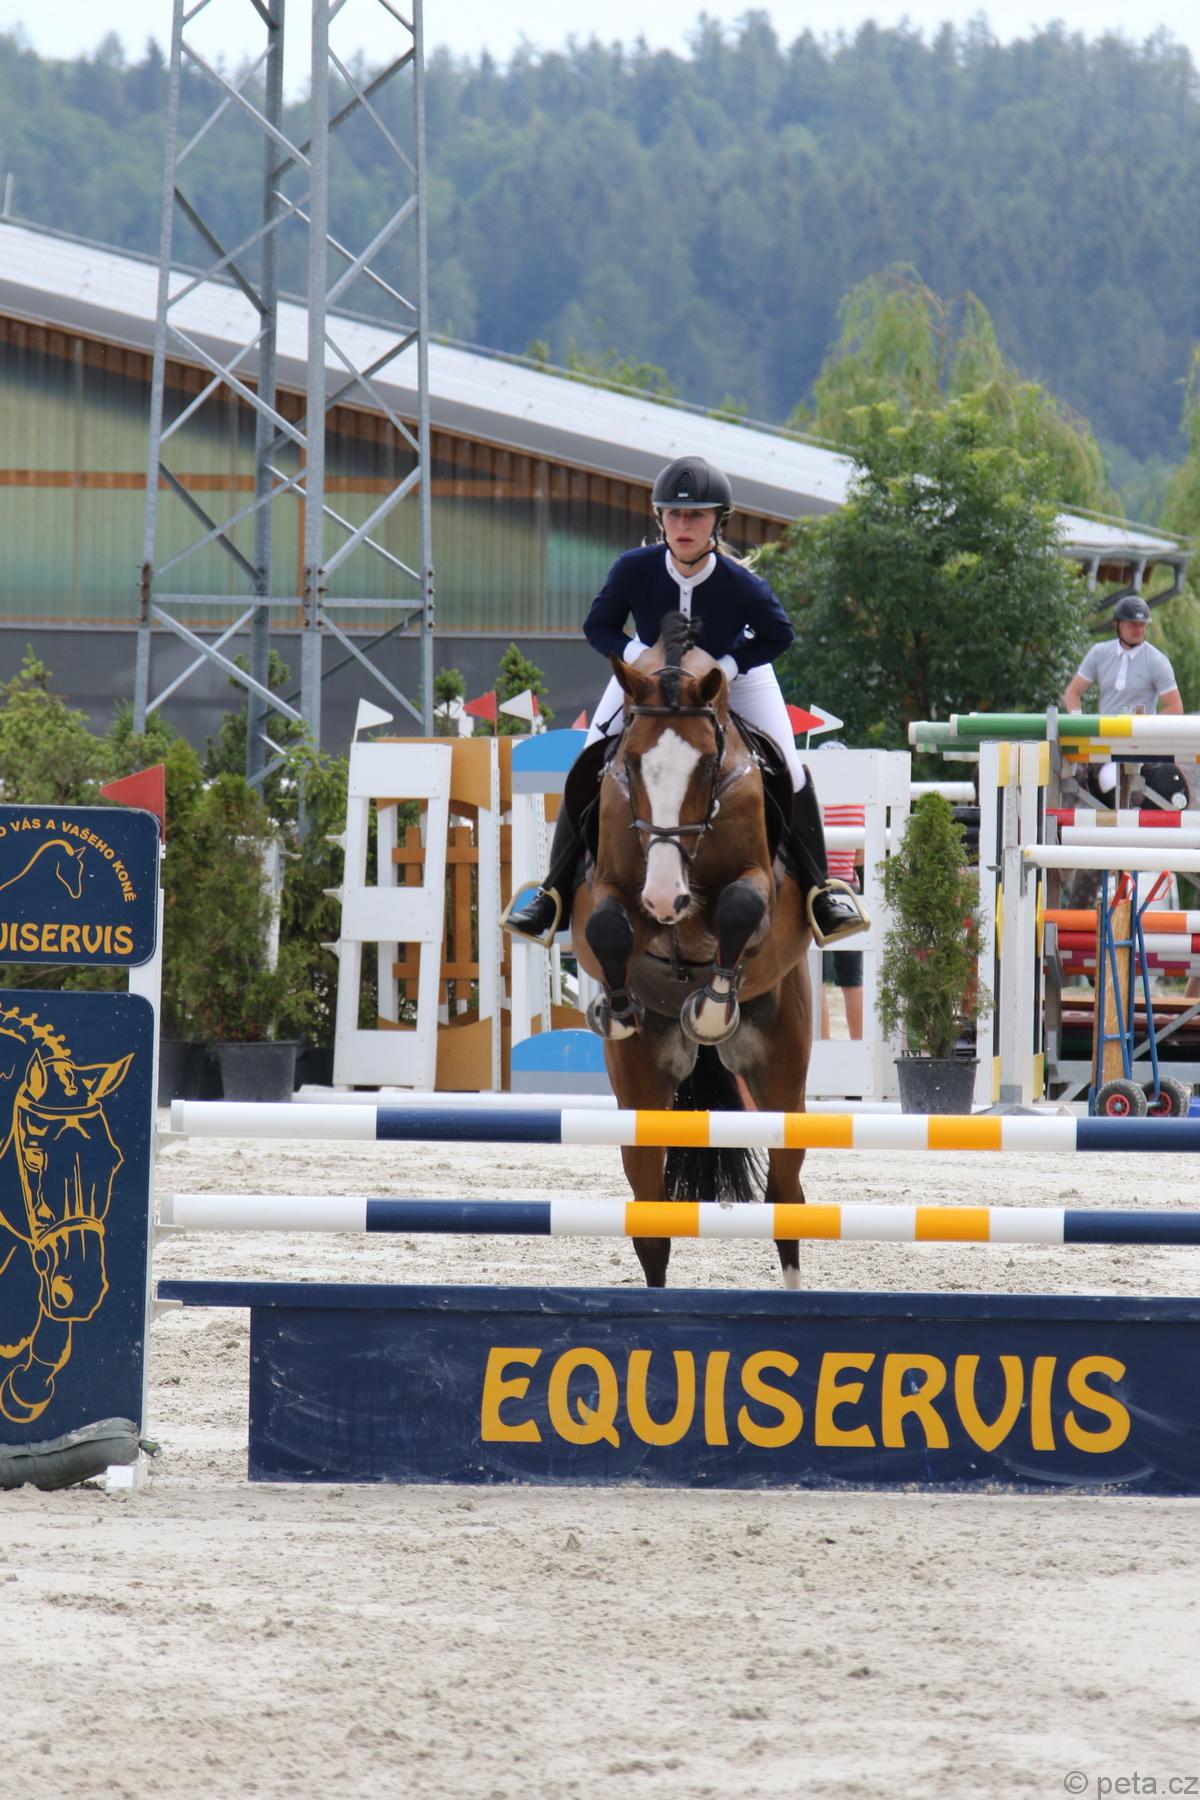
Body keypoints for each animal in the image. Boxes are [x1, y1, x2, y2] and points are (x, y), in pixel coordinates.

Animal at [571, 612, 813, 1288]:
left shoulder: (760, 886)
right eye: (629, 764)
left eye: (707, 766)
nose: (663, 898)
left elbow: (736, 908)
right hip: (641, 1094)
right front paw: (616, 1007)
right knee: (650, 1217)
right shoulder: (607, 886)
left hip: (782, 1075)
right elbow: (607, 927)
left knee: (788, 1200)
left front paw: (710, 1008)